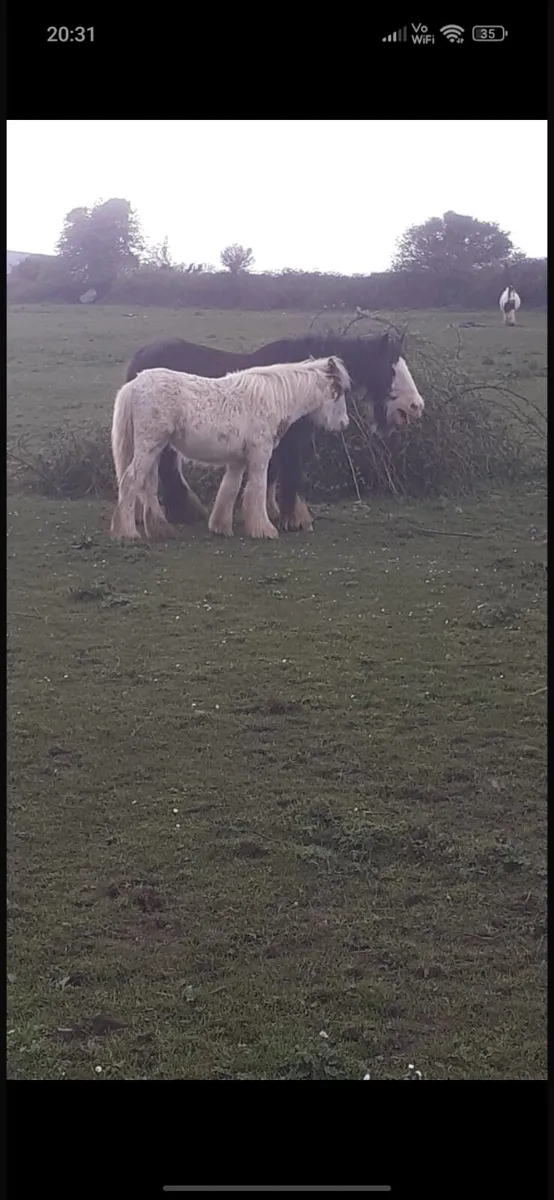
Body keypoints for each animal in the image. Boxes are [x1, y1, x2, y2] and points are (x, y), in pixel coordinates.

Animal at [110, 356, 350, 542]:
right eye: (338, 391)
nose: (344, 424)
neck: (272, 398)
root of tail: (135, 384)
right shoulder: (259, 456)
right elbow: (257, 489)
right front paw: (264, 529)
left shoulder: (237, 461)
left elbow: (230, 490)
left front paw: (220, 527)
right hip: (149, 446)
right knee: (131, 480)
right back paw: (128, 532)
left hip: (155, 449)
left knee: (147, 485)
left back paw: (160, 530)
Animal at [124, 332, 425, 534]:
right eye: (390, 368)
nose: (415, 406)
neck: (301, 381)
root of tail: (141, 358)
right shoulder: (290, 443)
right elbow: (290, 475)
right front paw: (293, 519)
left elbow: (273, 476)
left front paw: (273, 512)